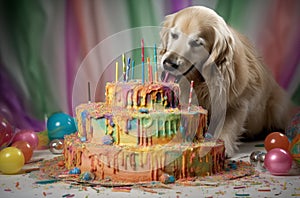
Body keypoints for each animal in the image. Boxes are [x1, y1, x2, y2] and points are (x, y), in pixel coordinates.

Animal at [159, 5, 292, 156]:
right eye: (174, 35)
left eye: (197, 43)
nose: (168, 63)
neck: (201, 80)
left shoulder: (238, 103)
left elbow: (227, 125)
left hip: (278, 107)